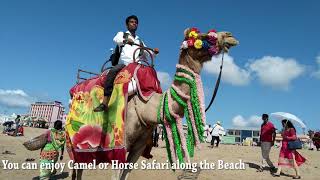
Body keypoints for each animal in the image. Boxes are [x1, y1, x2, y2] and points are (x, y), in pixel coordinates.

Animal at [67, 27, 238, 180]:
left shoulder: (139, 147)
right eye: (203, 36)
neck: (146, 106)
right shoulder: (120, 144)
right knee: (77, 166)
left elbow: (126, 174)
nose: (229, 36)